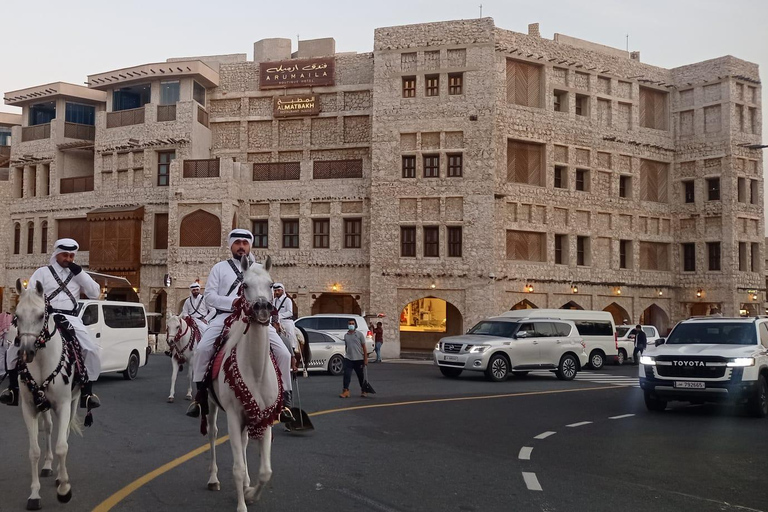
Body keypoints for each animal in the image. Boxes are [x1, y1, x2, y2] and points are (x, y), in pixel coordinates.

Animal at [12, 280, 84, 512]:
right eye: (16, 316)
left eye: (40, 316)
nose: (26, 352)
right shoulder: (29, 407)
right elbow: (33, 451)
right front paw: (34, 494)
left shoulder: (63, 404)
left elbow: (63, 446)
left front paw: (64, 489)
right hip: (43, 405)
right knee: (49, 428)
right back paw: (47, 465)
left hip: (74, 400)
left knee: (65, 433)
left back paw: (61, 476)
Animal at [204, 255, 282, 512]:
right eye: (244, 285)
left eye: (271, 284)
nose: (262, 308)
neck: (255, 372)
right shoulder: (233, 415)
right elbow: (237, 468)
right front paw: (241, 504)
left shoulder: (265, 416)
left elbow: (266, 471)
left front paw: (250, 493)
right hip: (211, 404)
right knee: (212, 433)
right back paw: (213, 479)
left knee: (246, 441)